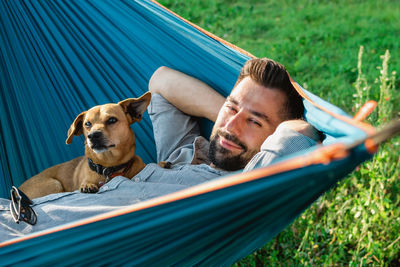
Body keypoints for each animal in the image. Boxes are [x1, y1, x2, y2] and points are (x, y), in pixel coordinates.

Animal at [17, 92, 152, 199]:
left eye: (112, 120)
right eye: (87, 124)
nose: (92, 136)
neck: (108, 166)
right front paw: (88, 185)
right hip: (54, 184)